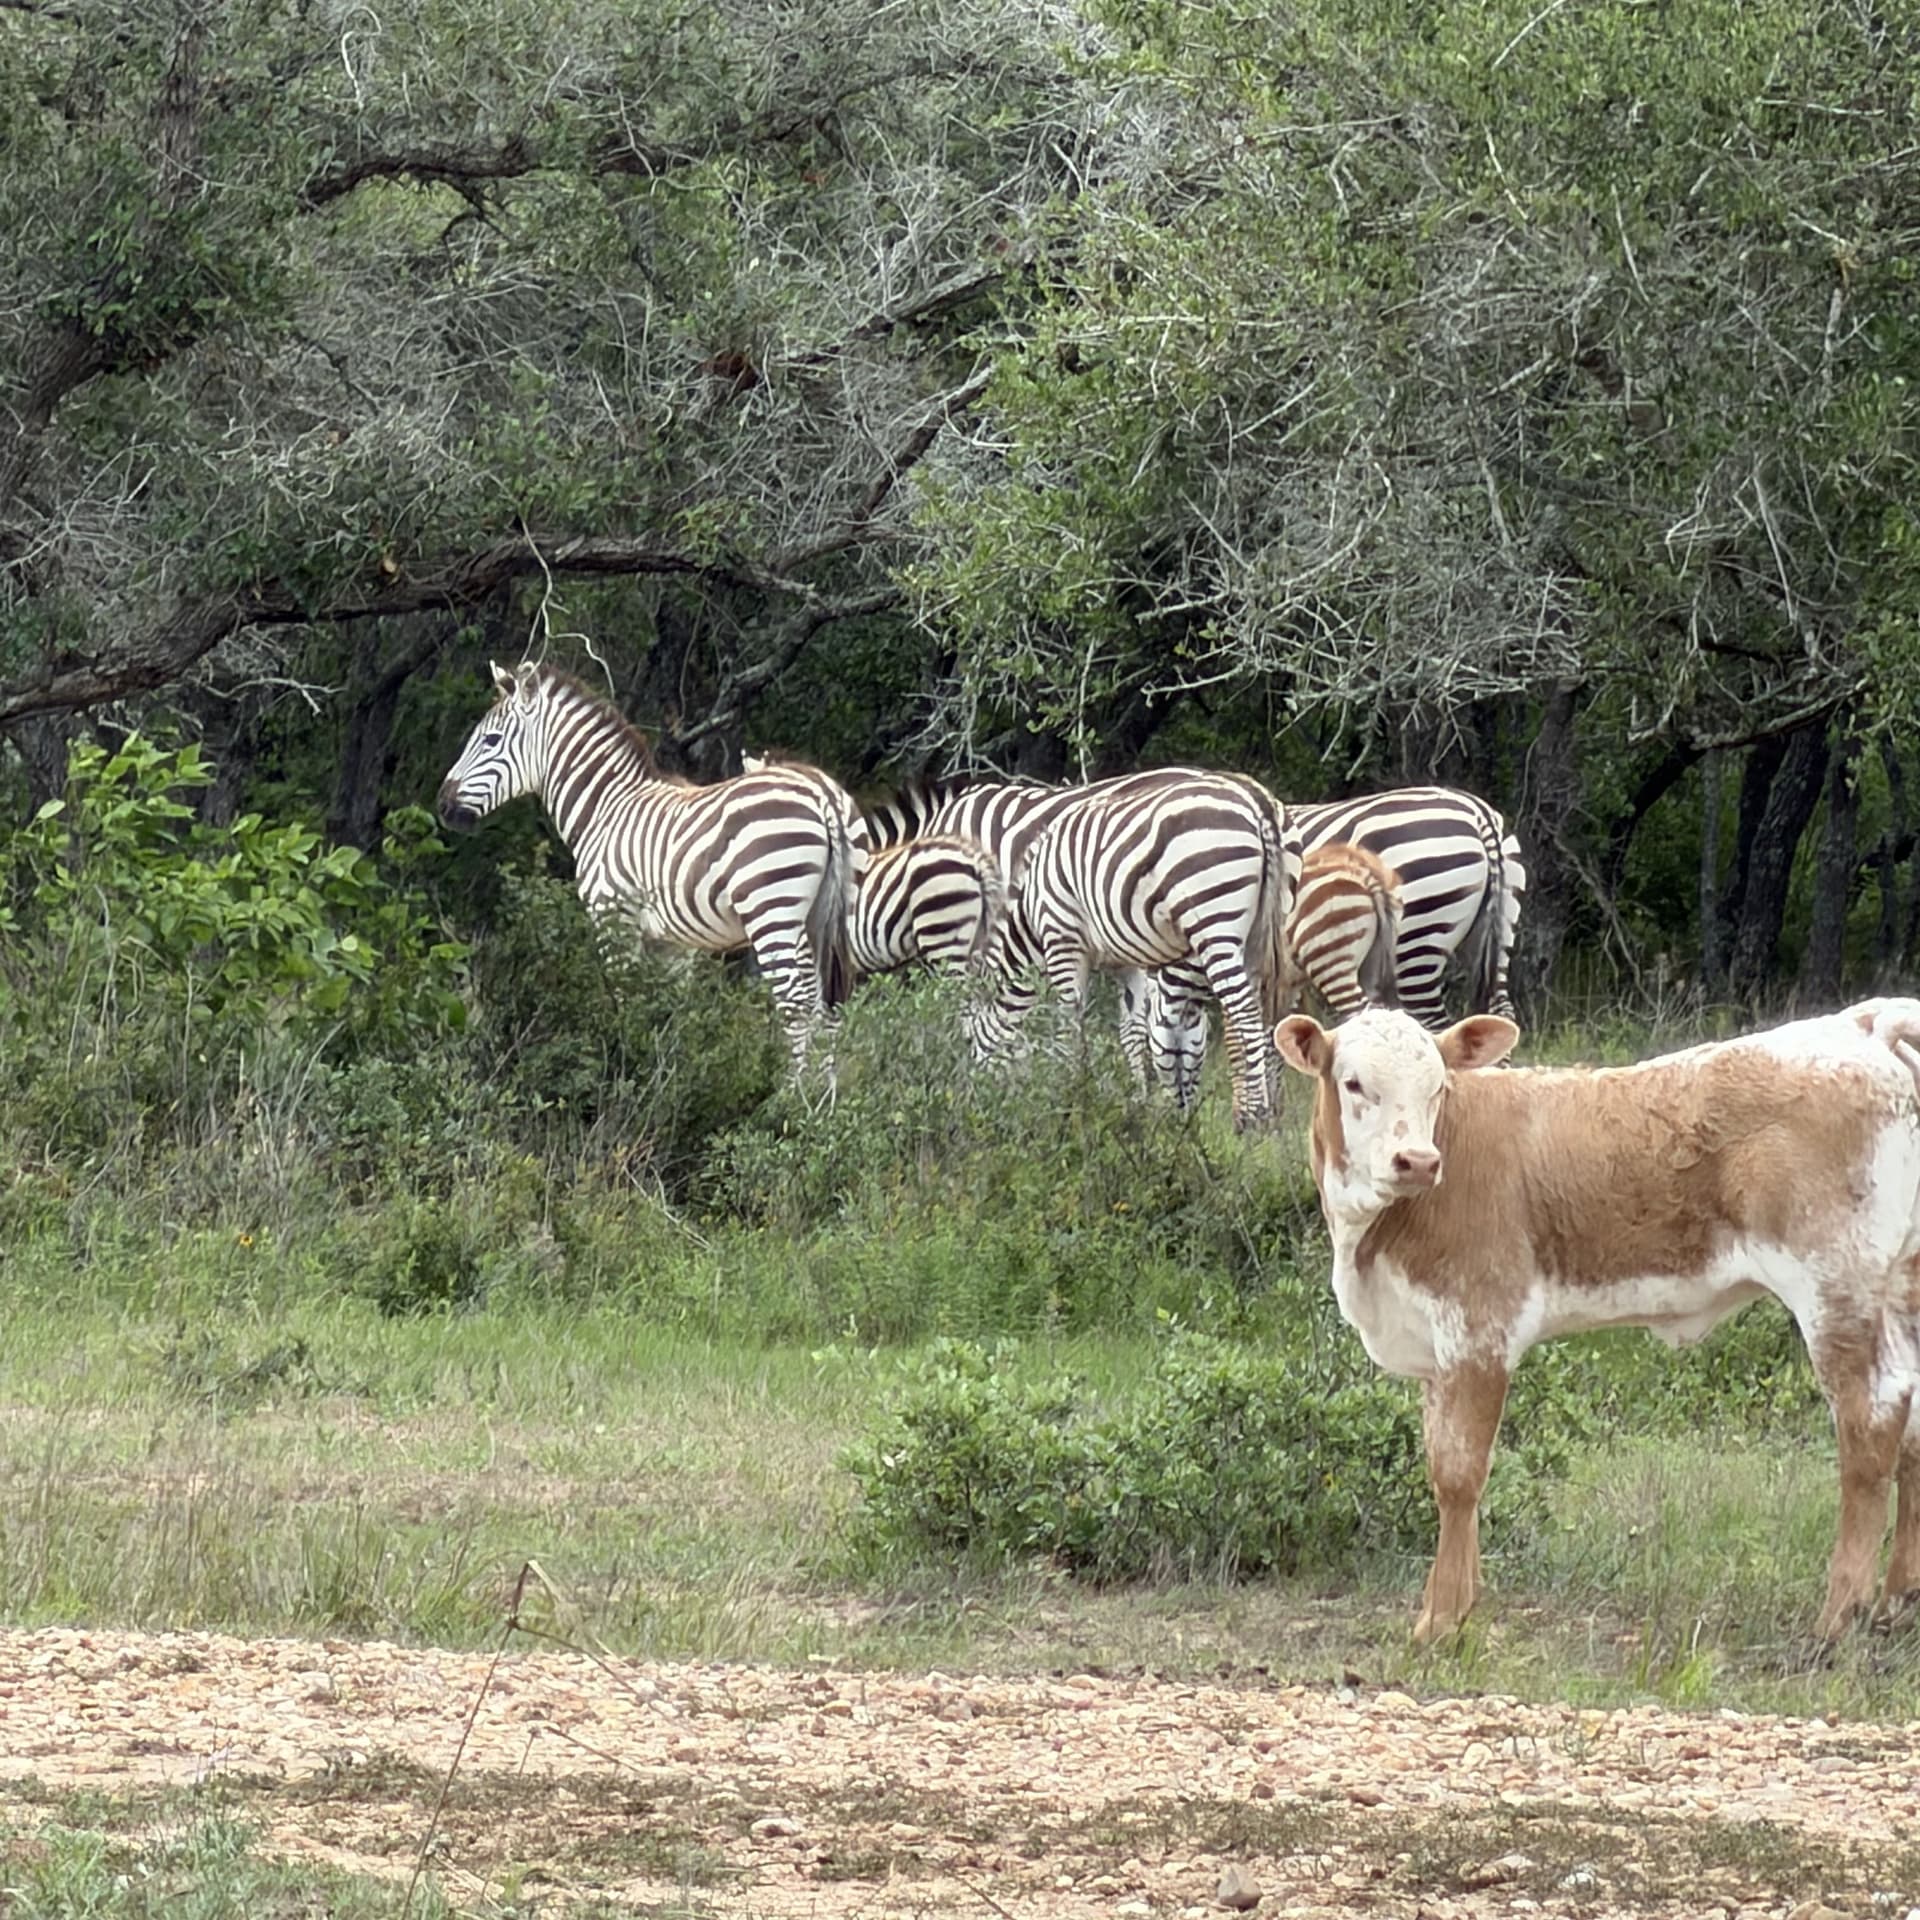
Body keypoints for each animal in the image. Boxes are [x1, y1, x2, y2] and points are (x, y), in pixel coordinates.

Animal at [437, 662, 857, 1073]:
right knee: (826, 1004)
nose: (442, 805)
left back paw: (792, 1091)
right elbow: (668, 1011)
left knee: (796, 1003)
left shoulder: (612, 915)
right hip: (821, 917)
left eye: (490, 741)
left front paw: (625, 1067)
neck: (606, 807)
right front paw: (667, 1077)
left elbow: (625, 998)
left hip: (772, 910)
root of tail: (823, 791)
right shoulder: (672, 942)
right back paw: (824, 1093)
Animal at [972, 768, 1298, 1129]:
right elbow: (1132, 1029)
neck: (1029, 914)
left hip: (1214, 923)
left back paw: (1255, 1115)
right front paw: (1136, 1103)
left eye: (970, 1044)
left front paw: (1072, 1098)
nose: (979, 1109)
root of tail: (1256, 798)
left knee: (1245, 1013)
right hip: (1267, 926)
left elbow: (1070, 1024)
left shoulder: (1062, 939)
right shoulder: (1125, 962)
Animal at [1126, 840, 1404, 1110]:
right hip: (1368, 968)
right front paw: (1273, 1110)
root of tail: (1365, 874)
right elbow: (1273, 1047)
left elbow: (1240, 1048)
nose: (1181, 1114)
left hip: (1331, 962)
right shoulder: (1281, 989)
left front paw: (1248, 1114)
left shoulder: (1240, 985)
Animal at [1273, 1000, 1920, 1646]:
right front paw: (1459, 1602)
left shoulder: (1479, 1327)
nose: (1418, 1161)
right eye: (1354, 1083)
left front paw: (1443, 1621)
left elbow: (1459, 1474)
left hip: (1836, 1289)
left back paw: (1841, 1615)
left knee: (1870, 1424)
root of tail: (1867, 1024)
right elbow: (1441, 1463)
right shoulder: (1435, 1351)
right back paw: (1898, 1600)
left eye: (1438, 1087)